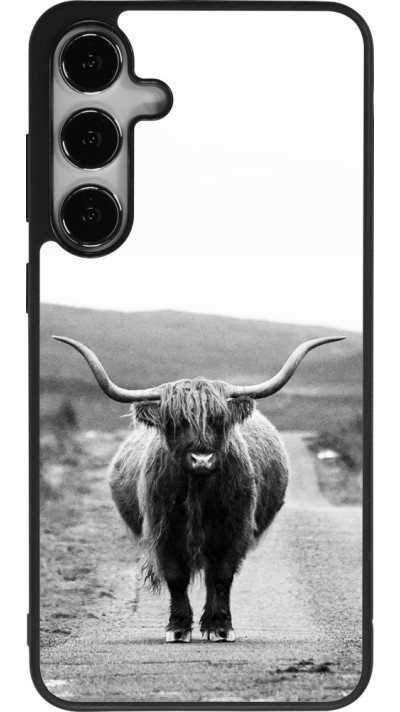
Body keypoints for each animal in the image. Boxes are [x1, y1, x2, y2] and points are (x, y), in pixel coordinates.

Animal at [53, 334, 344, 642]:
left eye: (218, 420)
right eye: (175, 422)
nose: (201, 459)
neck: (198, 491)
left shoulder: (234, 530)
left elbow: (222, 576)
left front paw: (220, 626)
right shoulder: (163, 531)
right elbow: (176, 577)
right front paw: (178, 628)